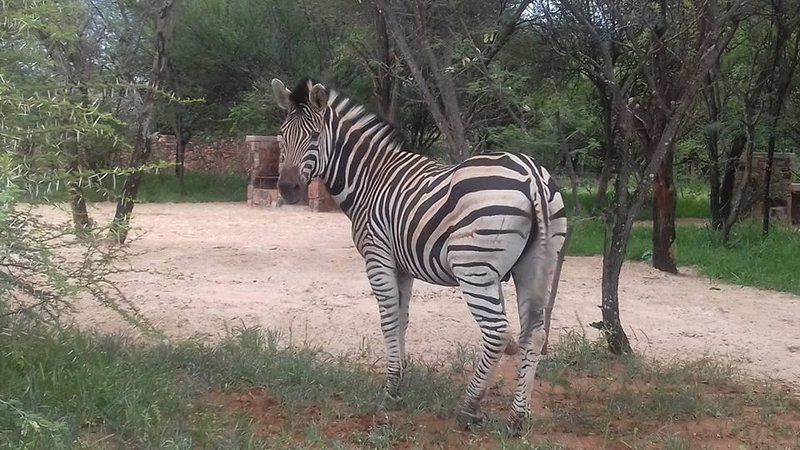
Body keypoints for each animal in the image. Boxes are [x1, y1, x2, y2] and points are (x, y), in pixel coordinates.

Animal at [272, 78, 564, 436]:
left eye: (314, 136)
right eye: (282, 135)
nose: (287, 189)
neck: (369, 179)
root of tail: (532, 174)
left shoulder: (377, 256)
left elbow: (388, 320)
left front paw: (390, 392)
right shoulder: (402, 266)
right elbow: (403, 320)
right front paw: (400, 383)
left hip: (474, 267)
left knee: (497, 332)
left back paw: (470, 409)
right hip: (535, 265)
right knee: (533, 334)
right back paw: (517, 419)